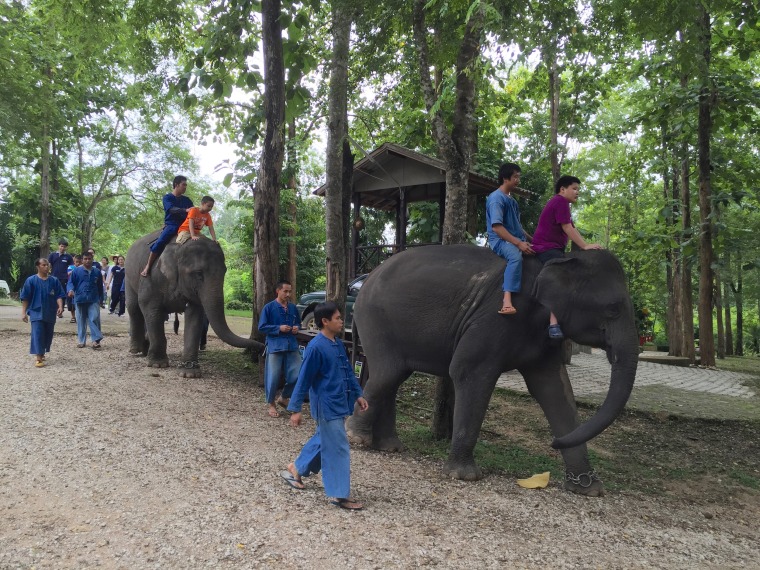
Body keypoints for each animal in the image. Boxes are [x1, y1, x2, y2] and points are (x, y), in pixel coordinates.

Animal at [125, 231, 264, 378]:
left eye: (225, 271)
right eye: (198, 273)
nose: (262, 348)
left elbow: (195, 315)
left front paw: (189, 373)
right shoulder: (151, 279)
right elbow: (151, 309)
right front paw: (158, 365)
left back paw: (145, 346)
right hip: (129, 277)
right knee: (134, 309)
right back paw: (135, 350)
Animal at [348, 243, 640, 492]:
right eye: (613, 309)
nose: (552, 442)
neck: (557, 261)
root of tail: (365, 280)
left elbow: (554, 389)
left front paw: (588, 489)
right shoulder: (496, 317)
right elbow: (467, 371)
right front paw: (464, 476)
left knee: (393, 376)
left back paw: (389, 447)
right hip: (375, 319)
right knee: (388, 374)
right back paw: (357, 438)